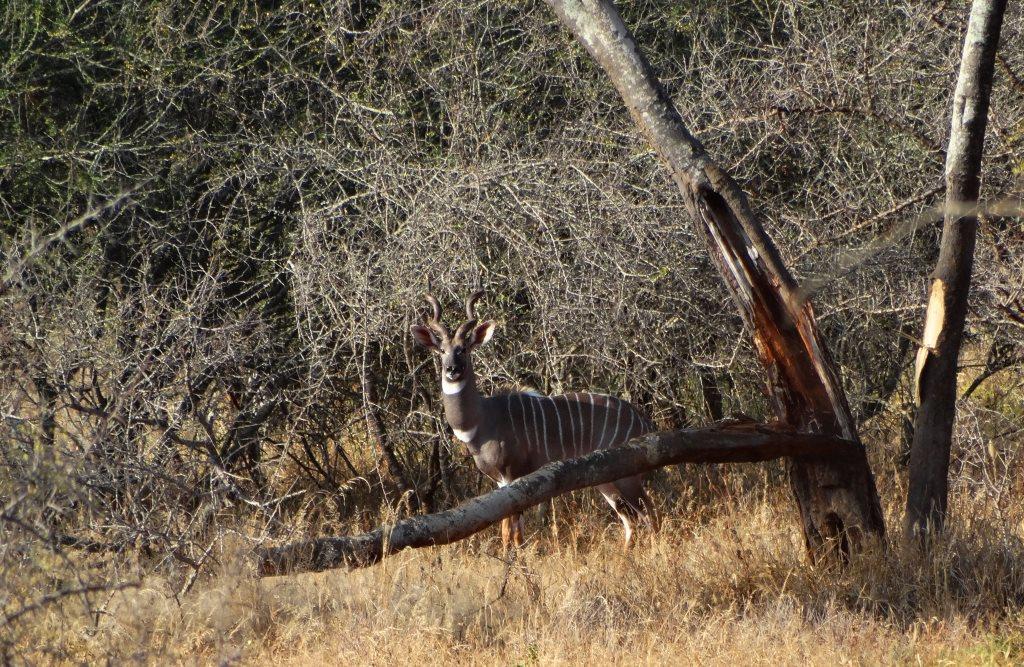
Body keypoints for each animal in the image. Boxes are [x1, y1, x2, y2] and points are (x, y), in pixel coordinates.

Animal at [411, 290, 659, 549]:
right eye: (441, 351)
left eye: (464, 349)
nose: (452, 370)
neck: (481, 419)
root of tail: (643, 420)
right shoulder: (500, 482)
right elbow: (511, 531)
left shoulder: (513, 474)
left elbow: (511, 532)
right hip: (606, 480)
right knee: (630, 518)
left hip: (628, 476)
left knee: (650, 513)